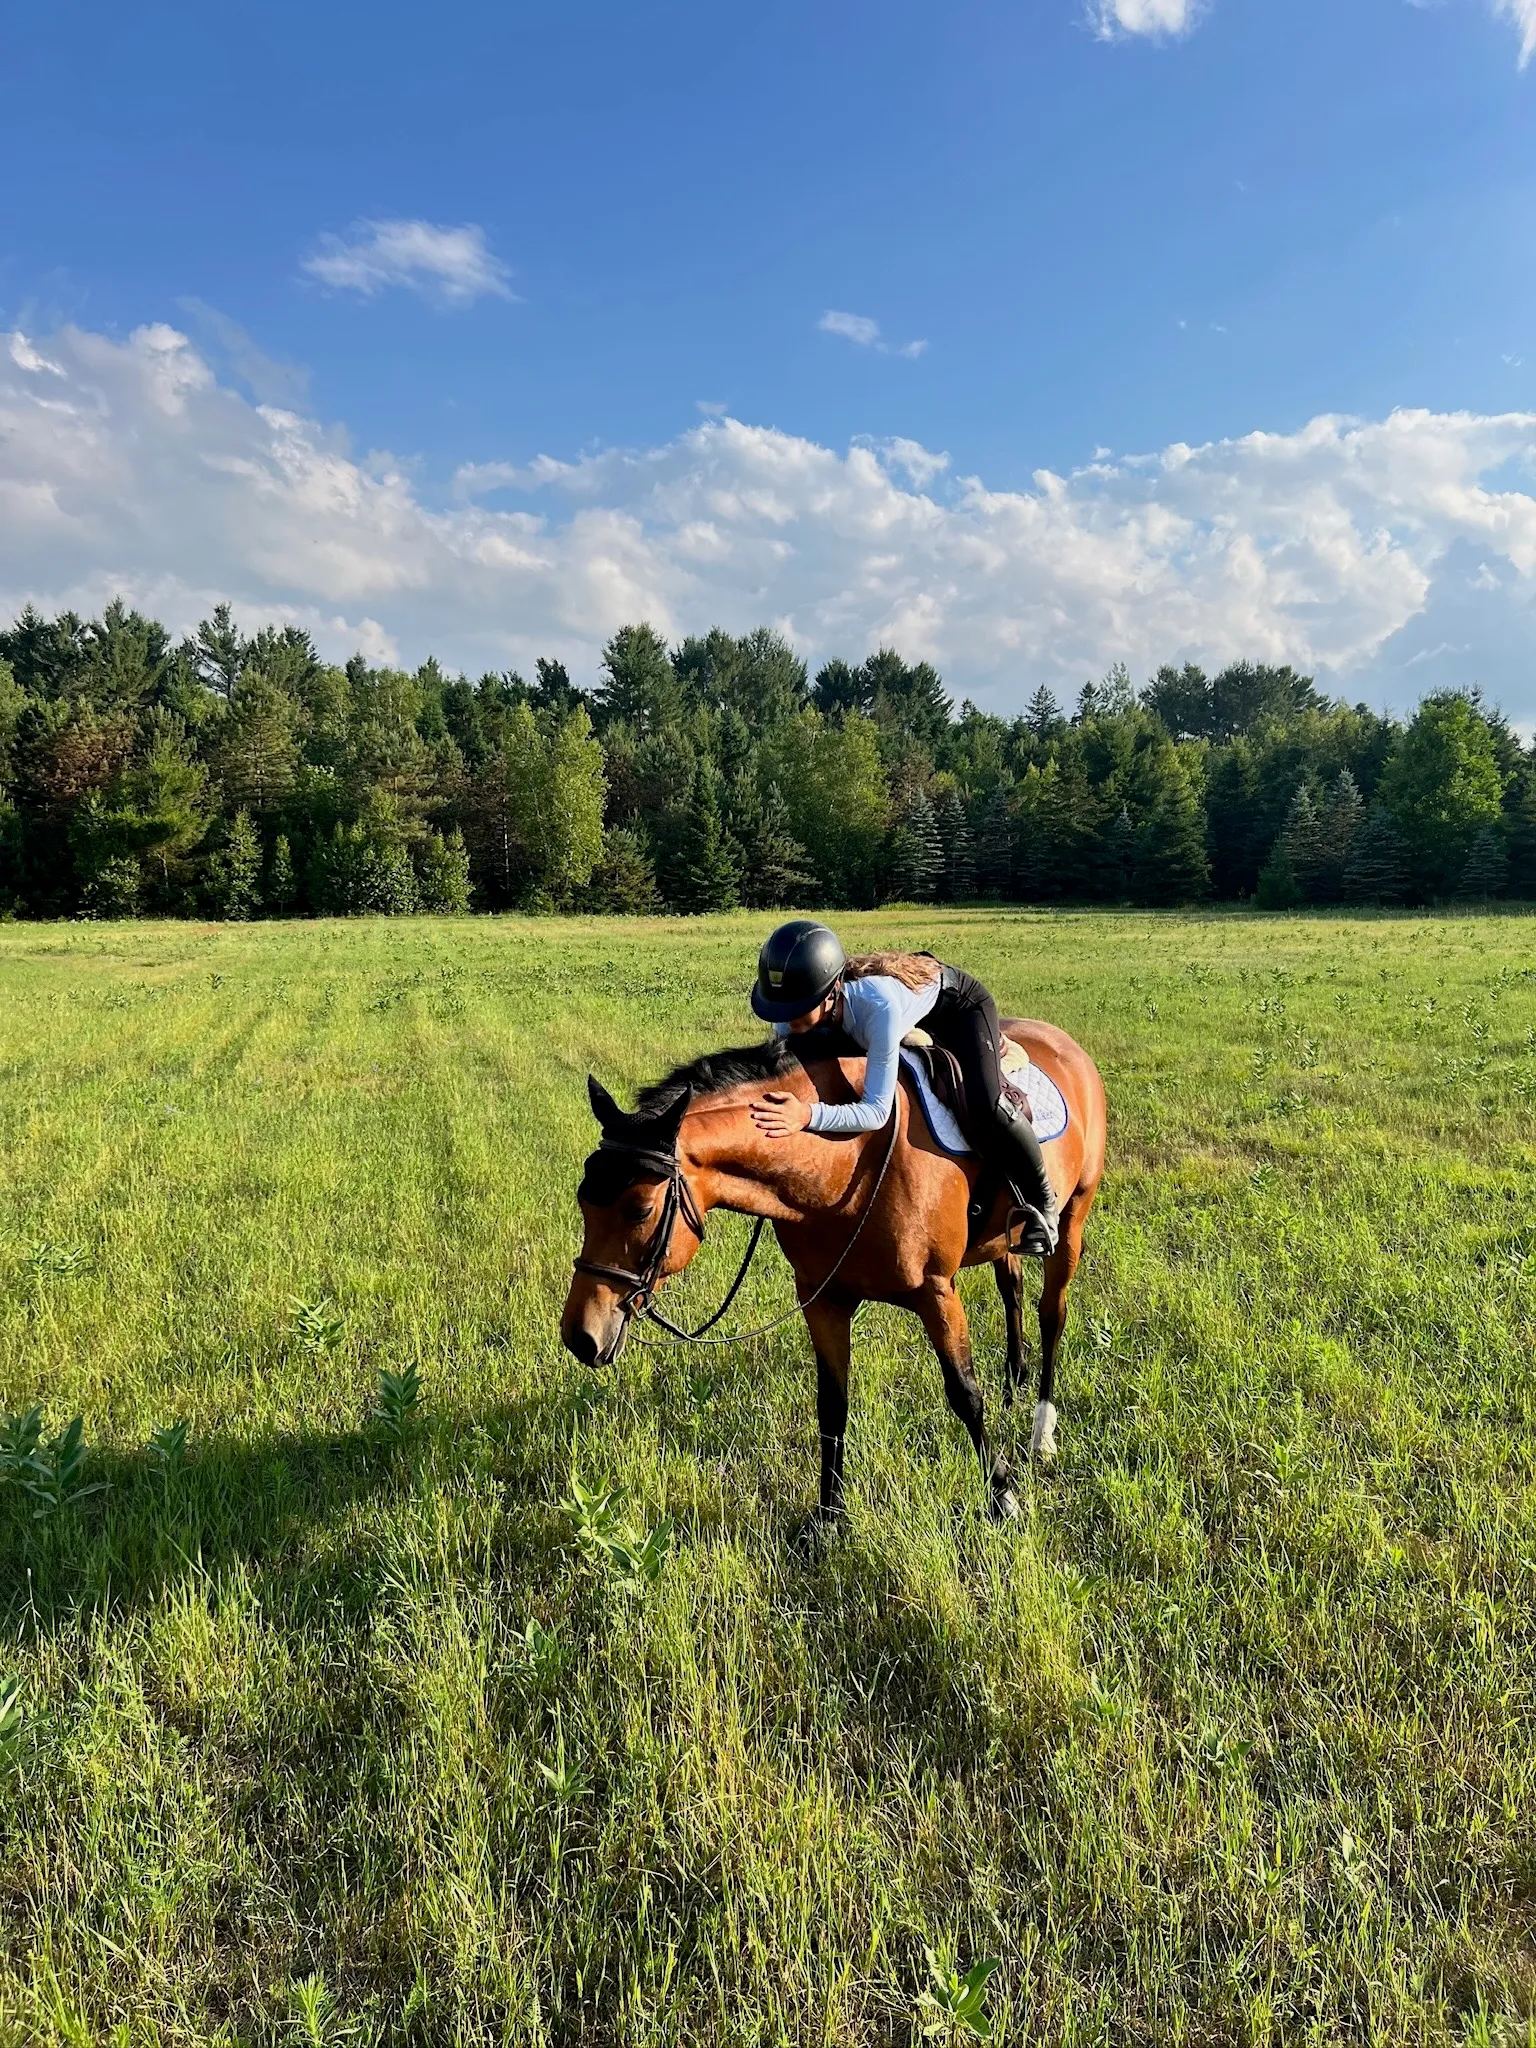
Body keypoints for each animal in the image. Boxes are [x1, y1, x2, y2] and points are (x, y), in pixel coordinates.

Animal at [561, 1020, 1106, 1536]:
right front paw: (827, 1519)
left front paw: (1003, 1499)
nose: (581, 1337)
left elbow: (965, 1396)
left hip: (1073, 1220)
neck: (846, 1161)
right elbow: (832, 1405)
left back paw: (1042, 1430)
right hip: (1000, 1242)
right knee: (1011, 1287)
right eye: (584, 1201)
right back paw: (1013, 1382)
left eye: (640, 1209)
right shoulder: (821, 1299)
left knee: (1051, 1315)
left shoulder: (937, 1293)